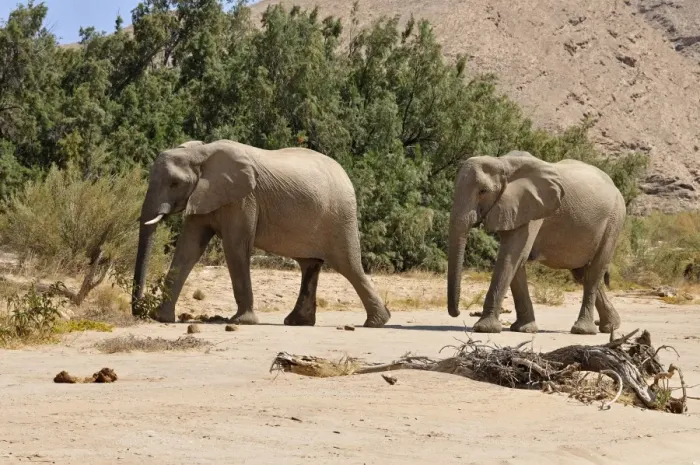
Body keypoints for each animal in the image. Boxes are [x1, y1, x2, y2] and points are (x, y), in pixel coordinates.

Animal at [131, 139, 391, 328]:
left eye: (174, 183)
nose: (138, 311)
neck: (201, 152)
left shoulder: (244, 198)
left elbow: (235, 247)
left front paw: (242, 322)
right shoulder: (203, 197)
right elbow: (188, 249)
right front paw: (162, 318)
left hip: (339, 217)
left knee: (348, 265)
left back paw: (376, 323)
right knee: (310, 265)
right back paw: (298, 322)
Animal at [446, 150, 626, 335]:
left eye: (483, 191)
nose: (458, 312)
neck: (502, 162)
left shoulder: (532, 207)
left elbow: (512, 255)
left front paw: (484, 328)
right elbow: (516, 260)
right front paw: (524, 329)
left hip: (614, 220)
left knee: (595, 271)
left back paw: (583, 330)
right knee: (582, 273)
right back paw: (610, 326)